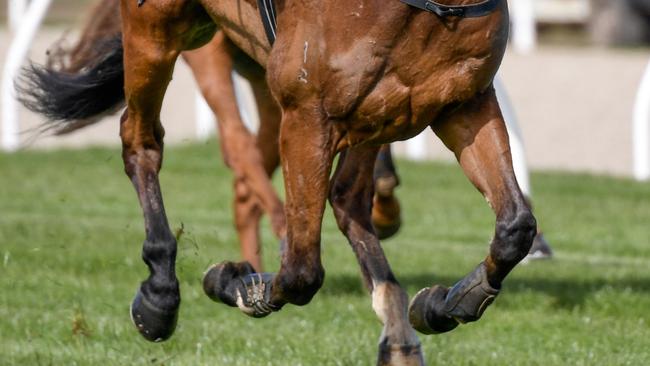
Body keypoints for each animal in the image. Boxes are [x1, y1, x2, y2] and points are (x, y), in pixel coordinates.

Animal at [17, 0, 536, 364]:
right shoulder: (307, 115)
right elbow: (301, 272)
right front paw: (237, 282)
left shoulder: (461, 103)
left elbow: (515, 226)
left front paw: (447, 302)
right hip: (159, 32)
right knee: (144, 141)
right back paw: (160, 294)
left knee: (347, 196)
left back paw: (399, 338)